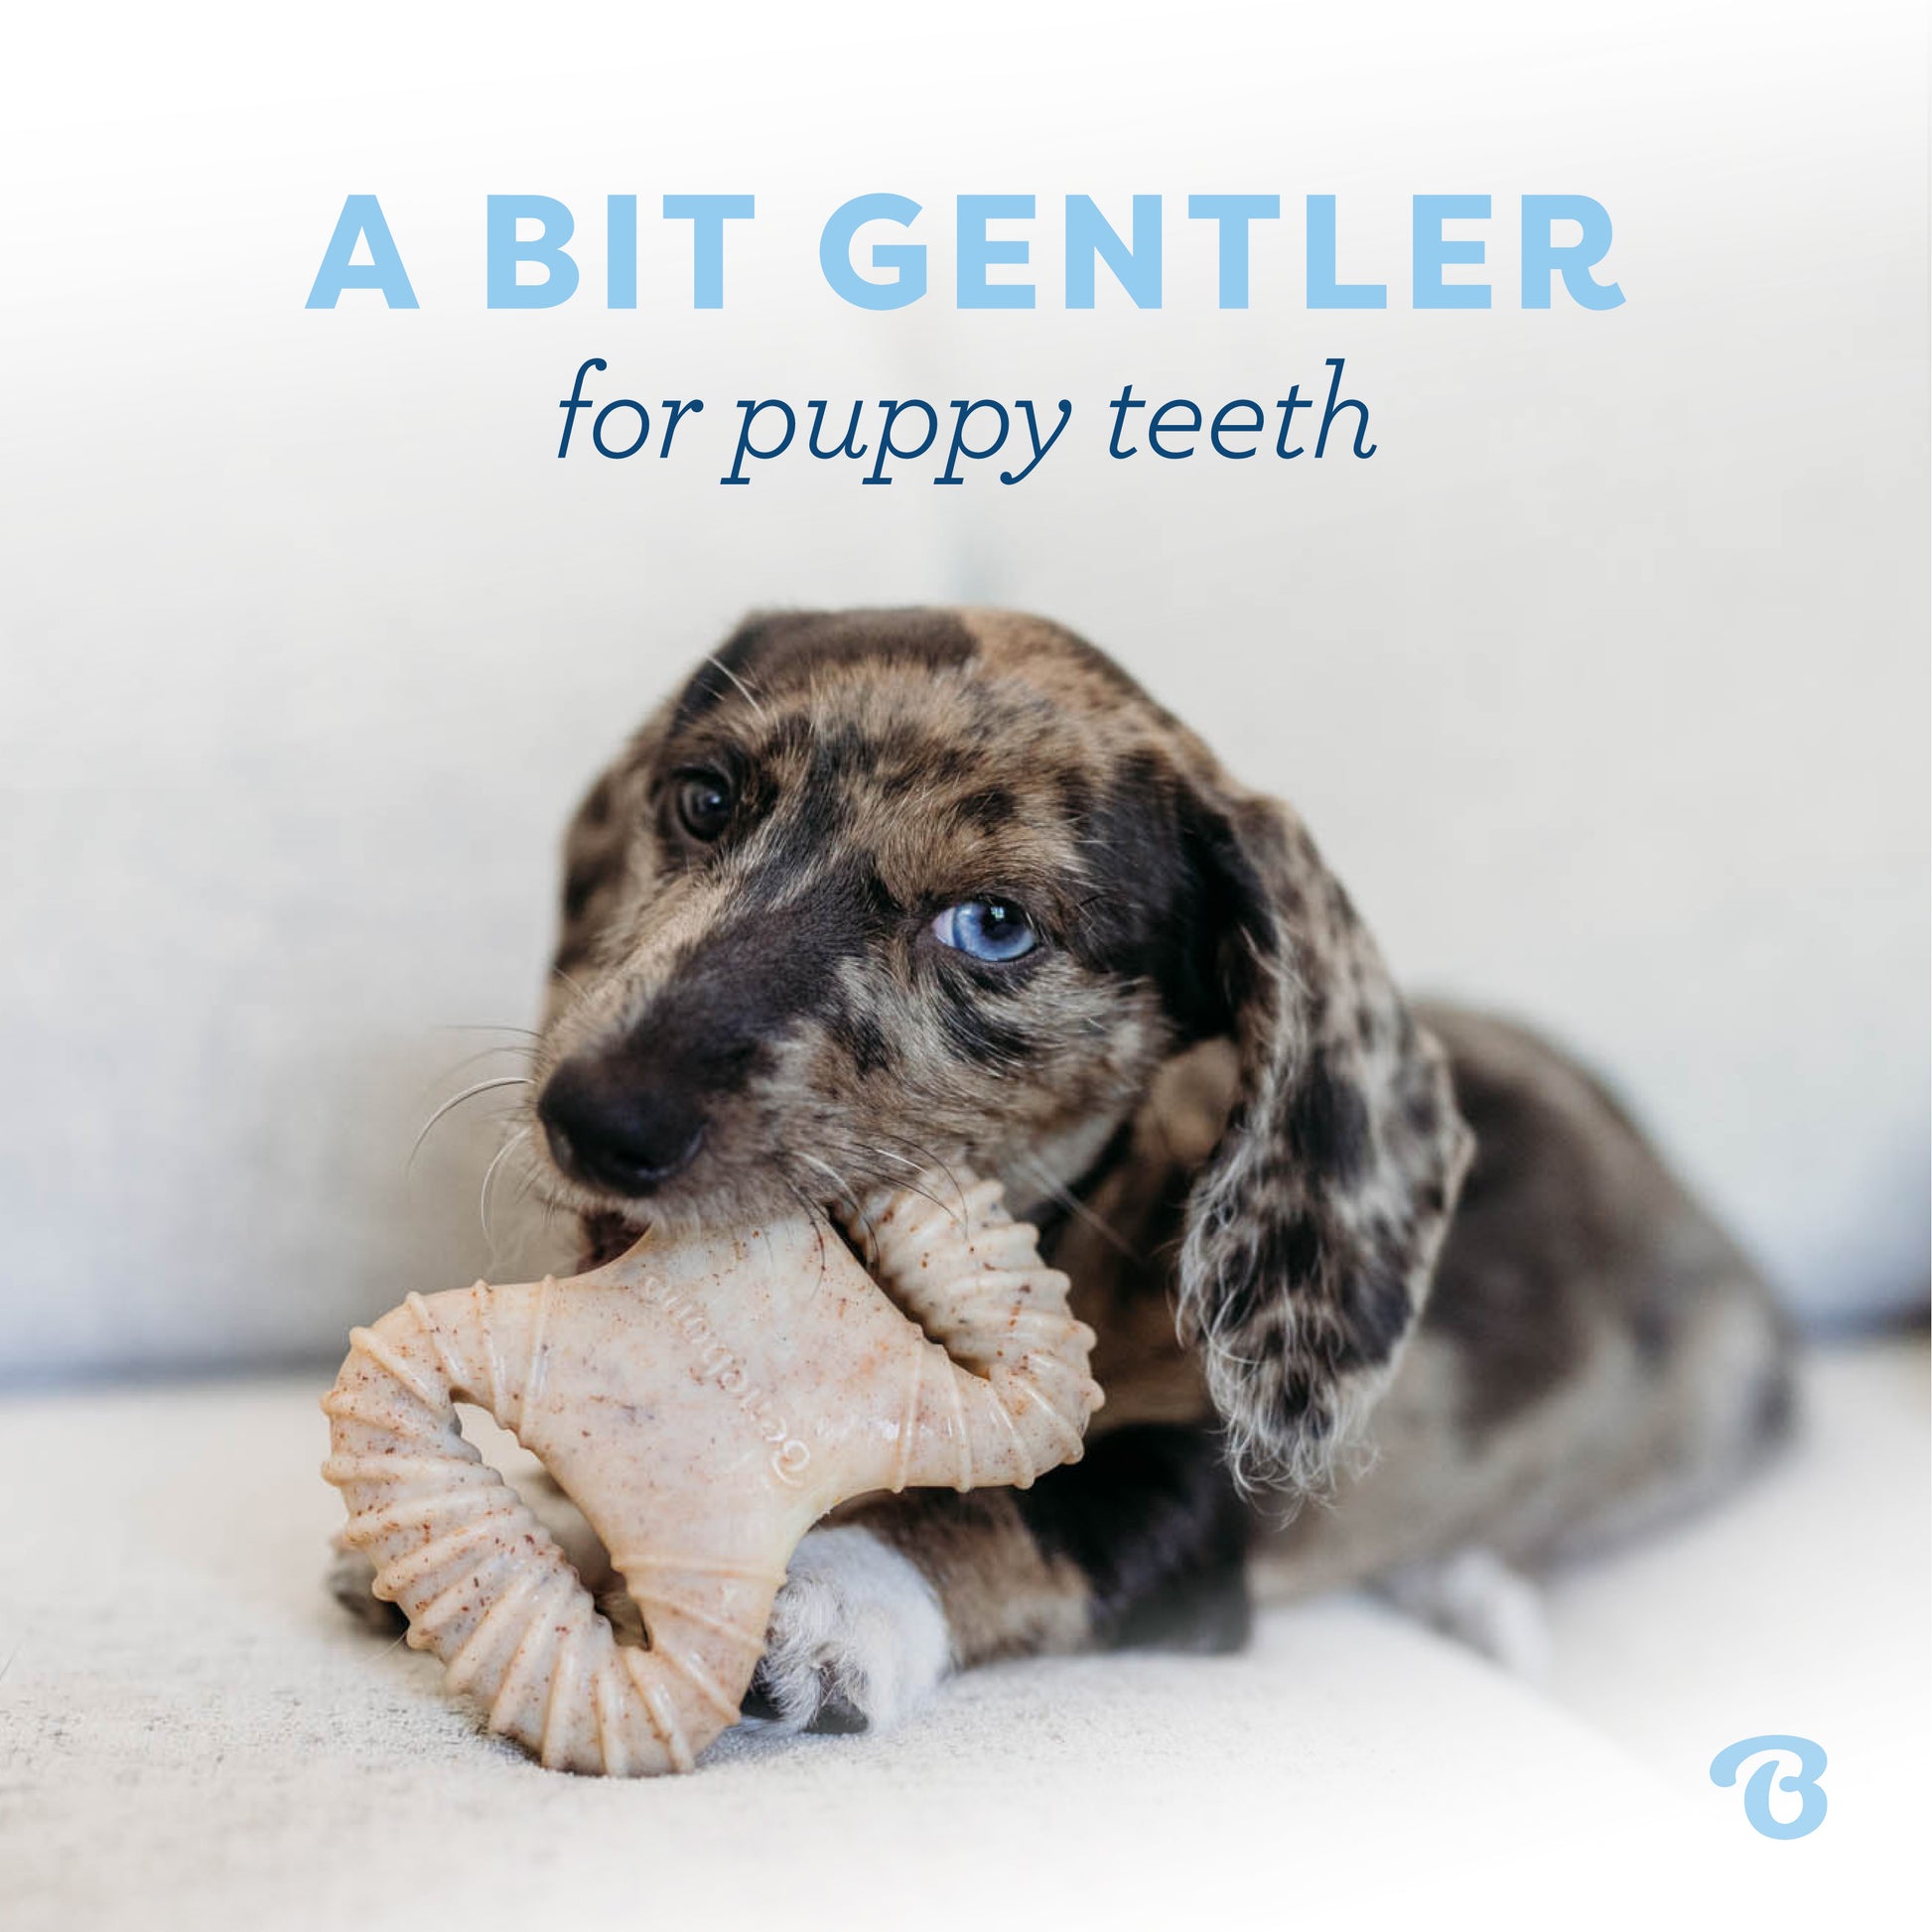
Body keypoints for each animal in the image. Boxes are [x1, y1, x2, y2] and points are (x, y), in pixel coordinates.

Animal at [328, 607, 1777, 1738]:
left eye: (993, 924)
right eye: (703, 797)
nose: (595, 1121)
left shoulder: (1191, 1505)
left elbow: (1009, 1516)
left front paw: (830, 1591)